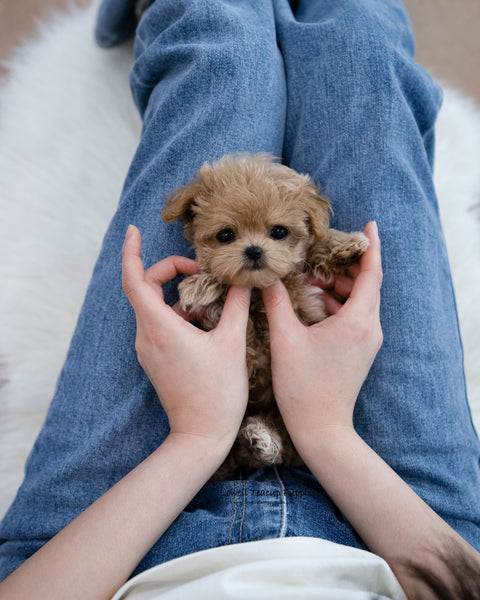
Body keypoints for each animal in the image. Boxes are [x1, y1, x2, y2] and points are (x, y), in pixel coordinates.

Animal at [161, 154, 368, 478]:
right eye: (226, 234)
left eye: (279, 231)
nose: (254, 251)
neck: (258, 292)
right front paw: (201, 284)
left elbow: (314, 251)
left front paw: (347, 245)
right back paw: (258, 439)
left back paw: (263, 439)